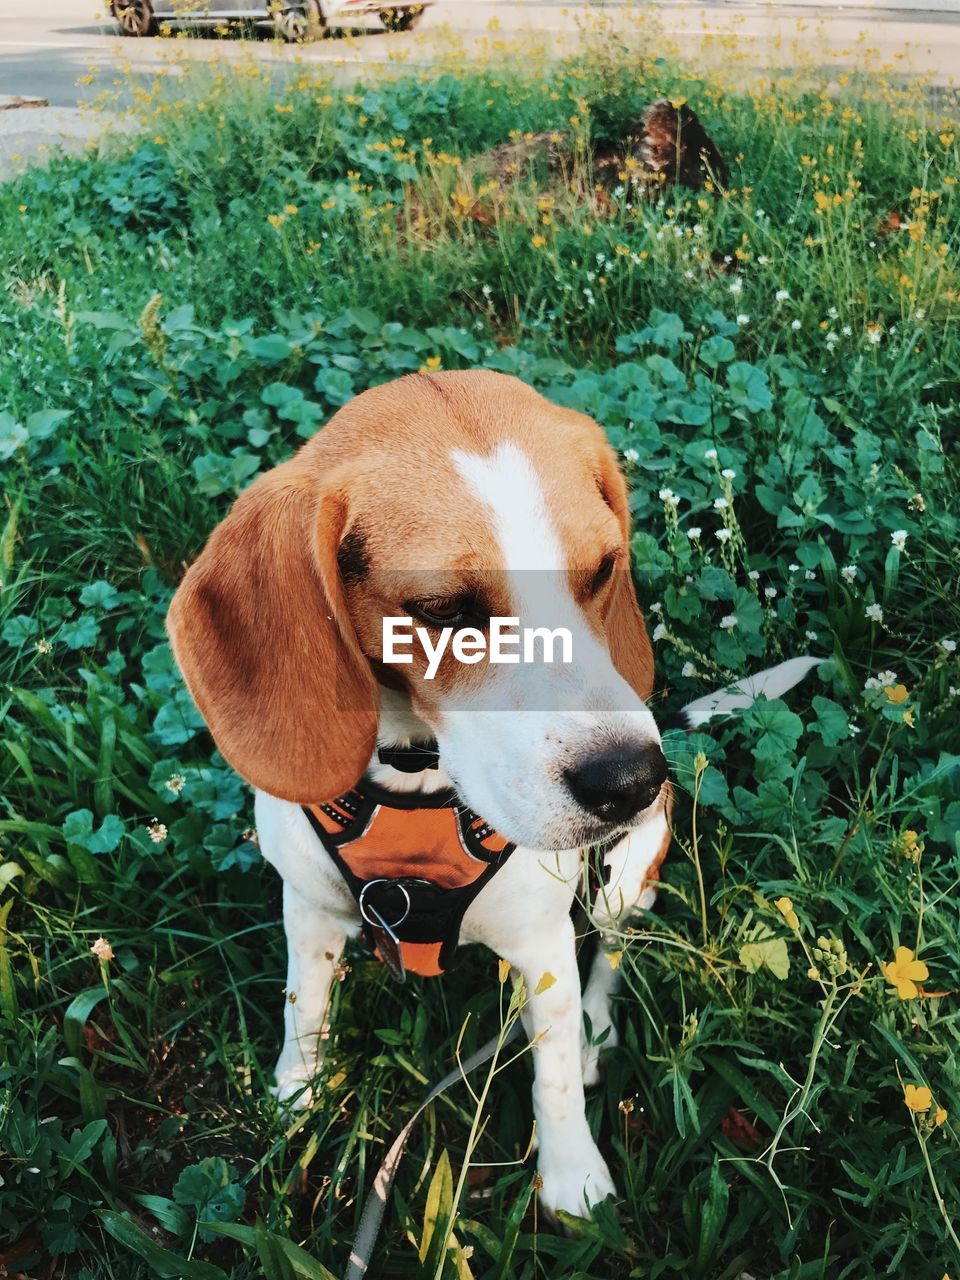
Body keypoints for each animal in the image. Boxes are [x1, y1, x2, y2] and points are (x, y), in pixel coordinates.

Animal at [165, 368, 814, 1218]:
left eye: (603, 570)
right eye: (443, 609)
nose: (633, 778)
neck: (415, 779)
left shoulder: (541, 944)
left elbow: (556, 1077)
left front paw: (572, 1176)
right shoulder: (307, 911)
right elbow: (303, 1010)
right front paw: (294, 1101)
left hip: (624, 878)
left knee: (609, 953)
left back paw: (595, 1031)